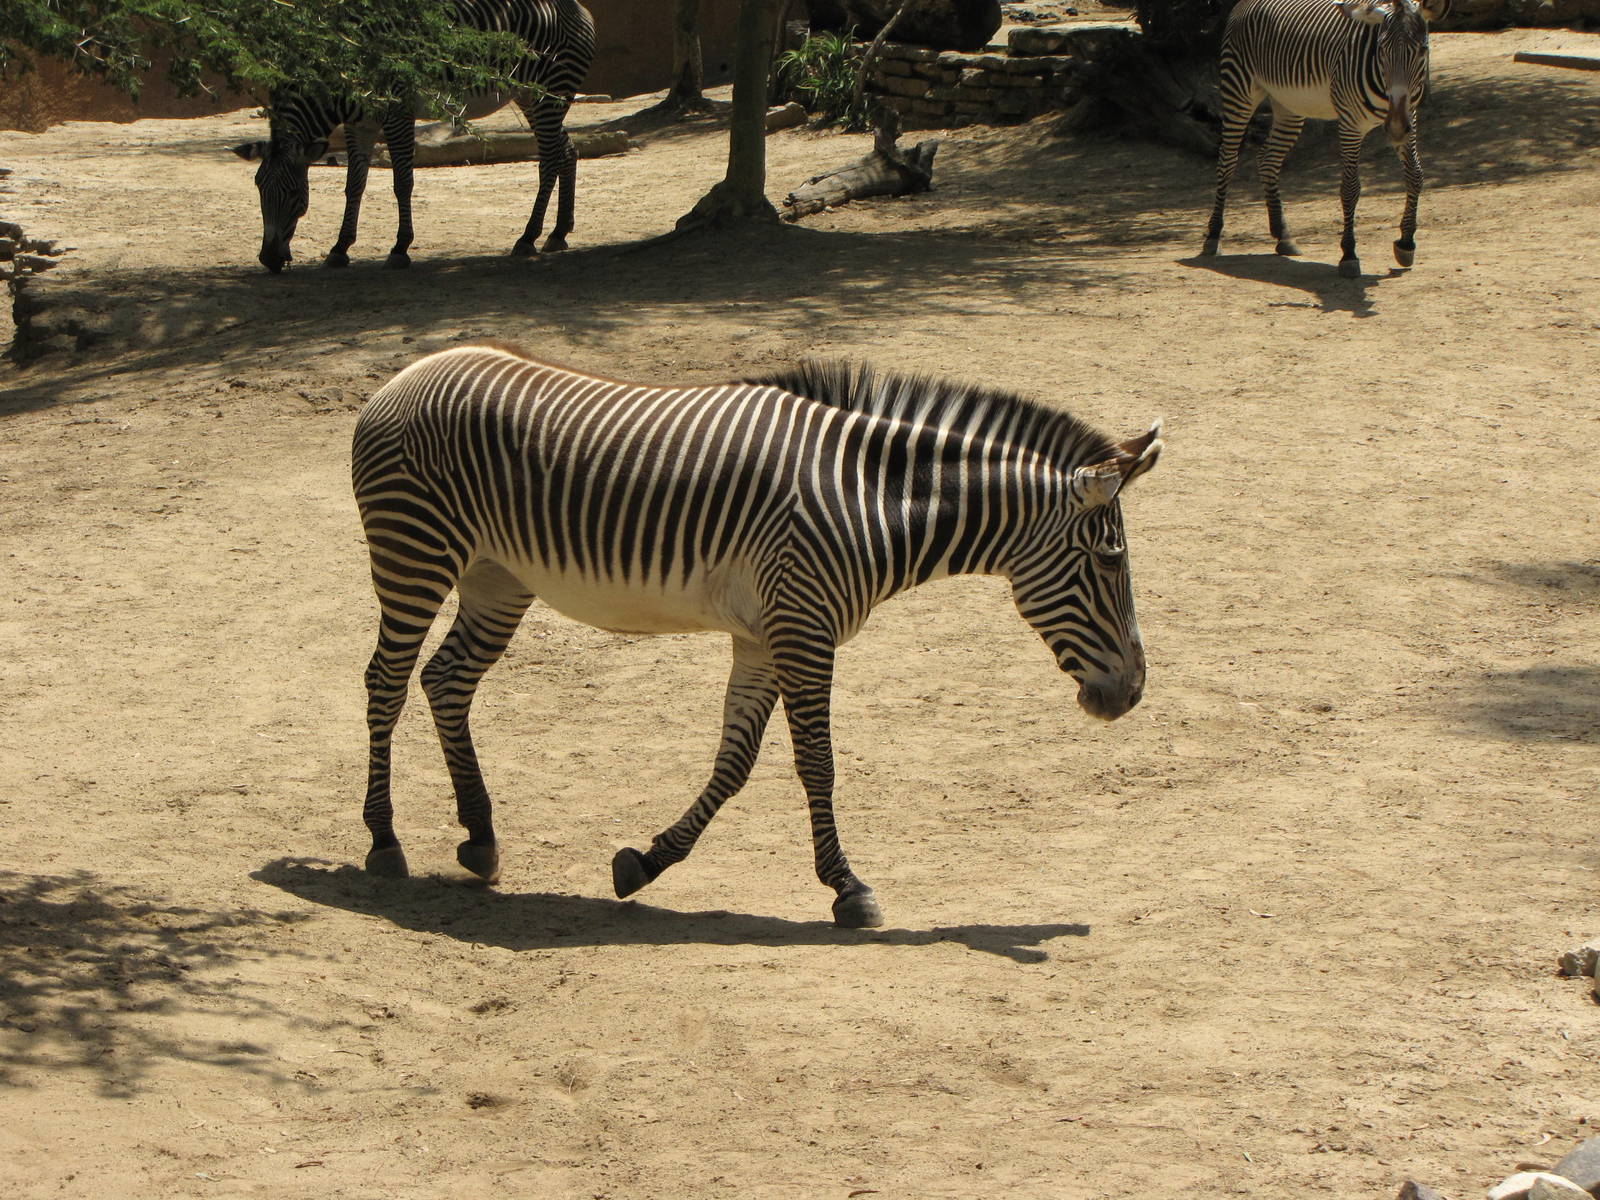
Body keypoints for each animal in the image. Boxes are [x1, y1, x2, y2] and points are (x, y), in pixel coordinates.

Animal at [230, 0, 595, 273]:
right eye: (259, 188)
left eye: (294, 193)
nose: (268, 260)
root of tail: (577, 8)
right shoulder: (359, 125)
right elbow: (354, 185)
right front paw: (340, 247)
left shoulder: (398, 114)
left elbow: (402, 182)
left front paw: (400, 247)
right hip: (530, 96)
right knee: (567, 149)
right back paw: (559, 232)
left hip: (549, 92)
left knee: (549, 159)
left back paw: (528, 237)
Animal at [351, 344, 1163, 928]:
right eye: (1110, 559)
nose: (1131, 694)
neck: (878, 501)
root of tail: (409, 372)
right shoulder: (803, 624)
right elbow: (817, 764)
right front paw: (847, 888)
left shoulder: (767, 632)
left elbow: (735, 761)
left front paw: (648, 861)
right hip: (414, 552)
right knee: (386, 681)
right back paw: (384, 840)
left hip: (496, 577)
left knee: (445, 680)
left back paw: (480, 837)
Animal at [1200, 0, 1448, 278]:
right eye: (1381, 50)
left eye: (1423, 50)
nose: (1393, 128)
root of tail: (1242, 4)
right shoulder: (1350, 123)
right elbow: (1350, 188)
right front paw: (1349, 255)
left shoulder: (1408, 117)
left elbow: (1415, 175)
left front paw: (1406, 243)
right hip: (1239, 90)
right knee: (1227, 160)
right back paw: (1213, 236)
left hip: (1289, 105)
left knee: (1268, 159)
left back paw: (1283, 236)